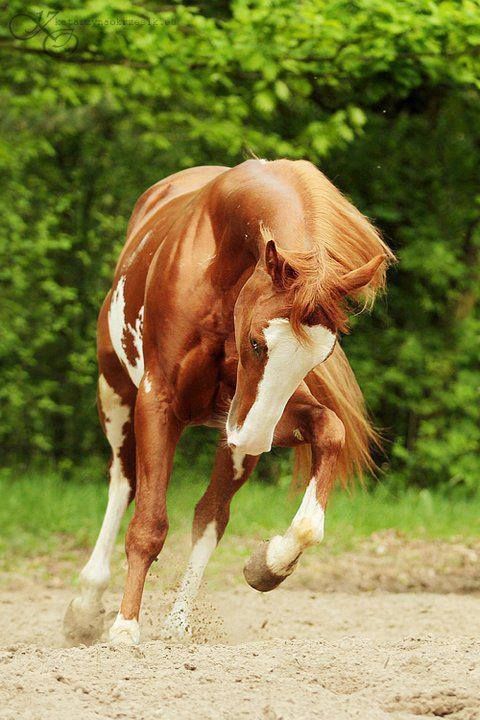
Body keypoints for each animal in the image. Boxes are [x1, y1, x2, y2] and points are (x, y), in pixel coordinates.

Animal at [63, 158, 394, 646]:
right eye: (257, 343)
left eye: (321, 356)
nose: (252, 440)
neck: (219, 260)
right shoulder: (158, 402)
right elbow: (148, 525)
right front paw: (124, 628)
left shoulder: (256, 413)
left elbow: (329, 436)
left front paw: (269, 564)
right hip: (116, 395)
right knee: (123, 483)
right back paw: (87, 605)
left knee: (210, 517)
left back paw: (178, 623)